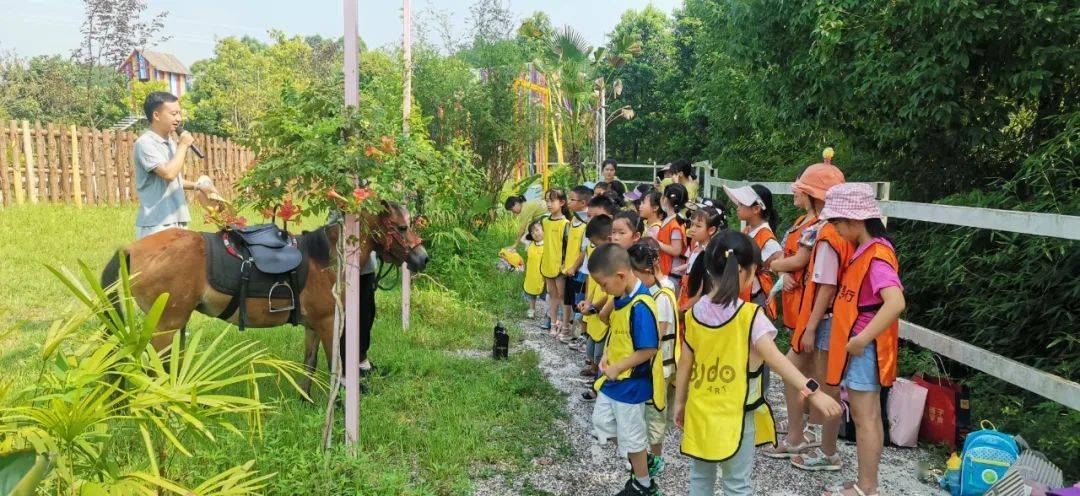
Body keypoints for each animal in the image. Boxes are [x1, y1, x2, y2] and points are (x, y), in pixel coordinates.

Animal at [98, 199, 425, 397]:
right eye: (402, 227)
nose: (423, 258)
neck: (327, 258)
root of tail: (131, 249)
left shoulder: (313, 325)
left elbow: (309, 363)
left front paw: (306, 400)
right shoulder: (328, 323)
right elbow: (337, 367)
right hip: (164, 328)